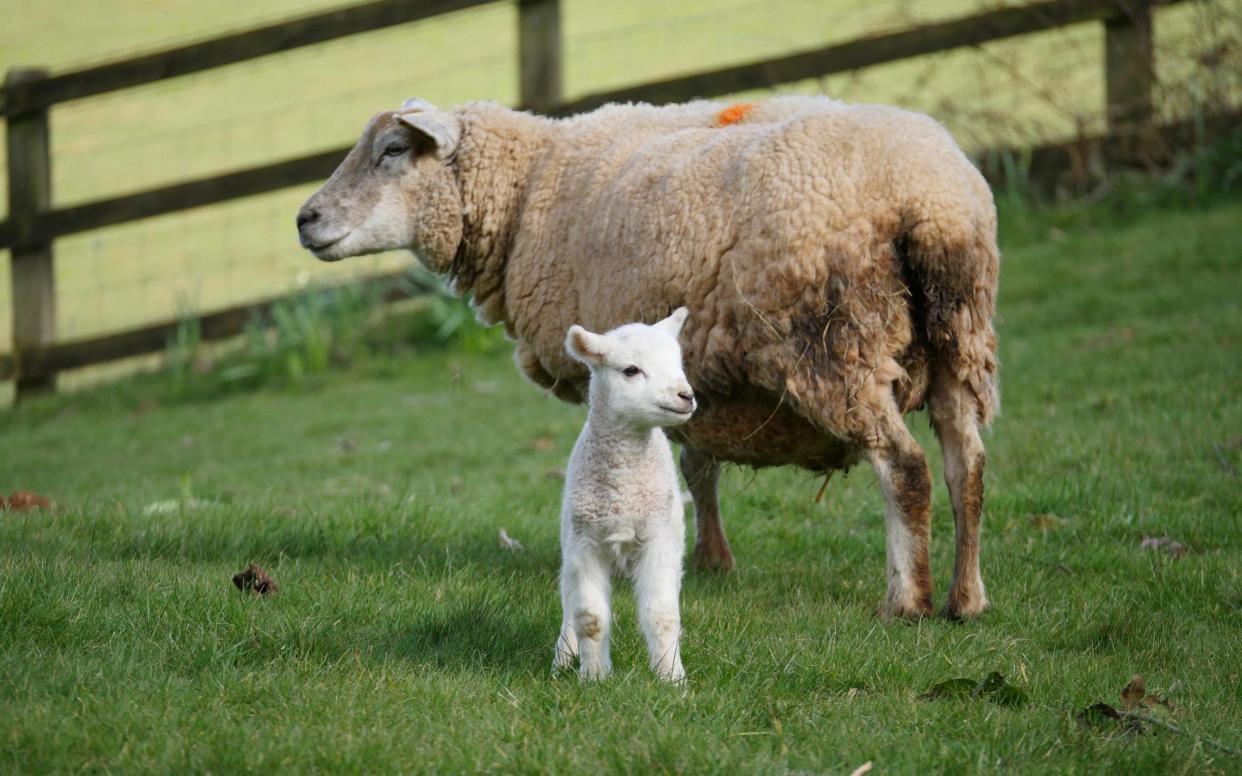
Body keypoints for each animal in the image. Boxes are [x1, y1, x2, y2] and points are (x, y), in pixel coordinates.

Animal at [298, 95, 998, 618]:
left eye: (393, 151)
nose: (306, 219)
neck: (527, 191)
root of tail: (930, 199)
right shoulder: (690, 376)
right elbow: (696, 466)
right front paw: (712, 560)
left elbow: (679, 464)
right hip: (959, 340)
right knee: (967, 466)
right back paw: (966, 599)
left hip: (832, 345)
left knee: (905, 467)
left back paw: (907, 601)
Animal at [556, 305, 700, 680]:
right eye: (631, 370)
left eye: (679, 363)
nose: (686, 396)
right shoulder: (584, 543)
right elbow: (590, 618)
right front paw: (593, 678)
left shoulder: (658, 539)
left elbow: (662, 616)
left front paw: (672, 678)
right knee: (568, 600)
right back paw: (562, 656)